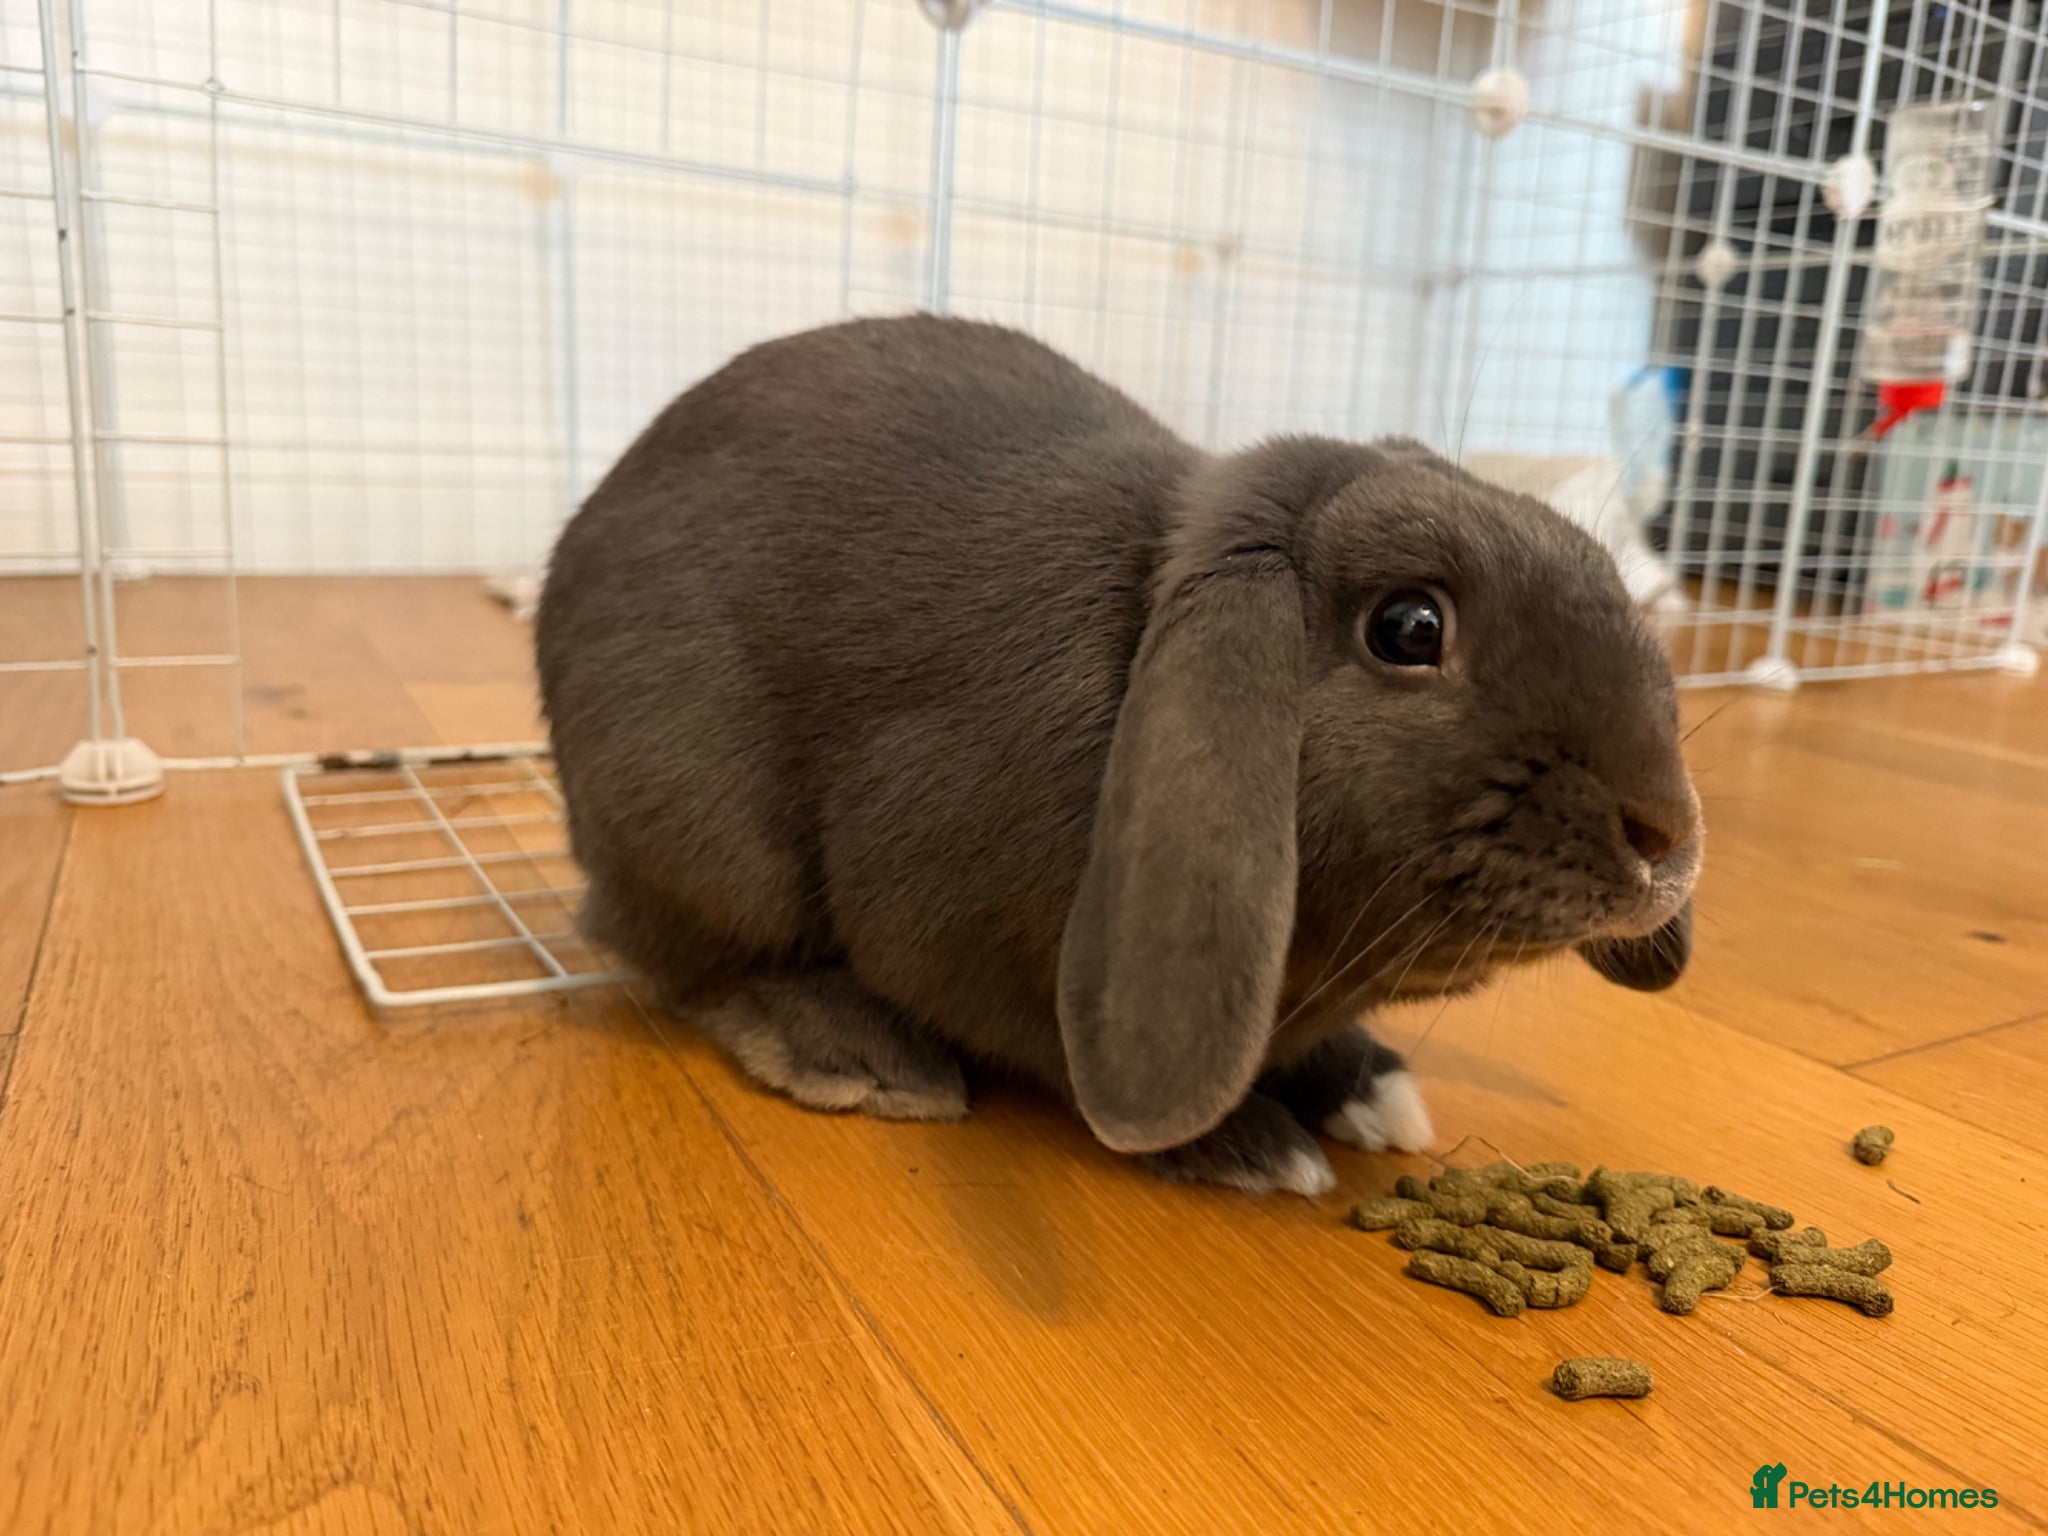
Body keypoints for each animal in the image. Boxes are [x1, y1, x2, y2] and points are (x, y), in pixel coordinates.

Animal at [535, 314, 1700, 1197]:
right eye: (1409, 628)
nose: (1665, 838)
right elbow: (1051, 1049)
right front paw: (1248, 1148)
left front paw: (1371, 1091)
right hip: (699, 837)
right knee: (696, 961)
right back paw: (866, 1062)